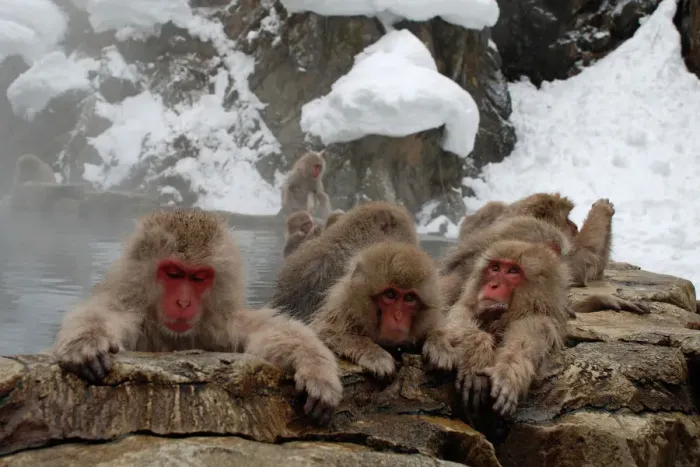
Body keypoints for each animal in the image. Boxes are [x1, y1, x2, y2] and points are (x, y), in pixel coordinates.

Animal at [52, 209, 343, 423]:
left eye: (199, 277)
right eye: (174, 274)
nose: (183, 302)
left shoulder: (221, 323)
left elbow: (266, 330)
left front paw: (314, 366)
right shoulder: (135, 313)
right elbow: (106, 313)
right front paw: (87, 341)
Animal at [309, 242, 454, 378]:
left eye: (409, 297)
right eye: (390, 294)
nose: (398, 316)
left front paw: (439, 344)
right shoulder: (342, 311)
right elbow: (326, 334)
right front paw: (374, 354)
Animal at [447, 240, 570, 417]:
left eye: (513, 271)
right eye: (495, 268)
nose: (493, 285)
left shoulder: (536, 321)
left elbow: (522, 346)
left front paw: (507, 373)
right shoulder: (466, 307)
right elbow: (455, 322)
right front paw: (476, 353)